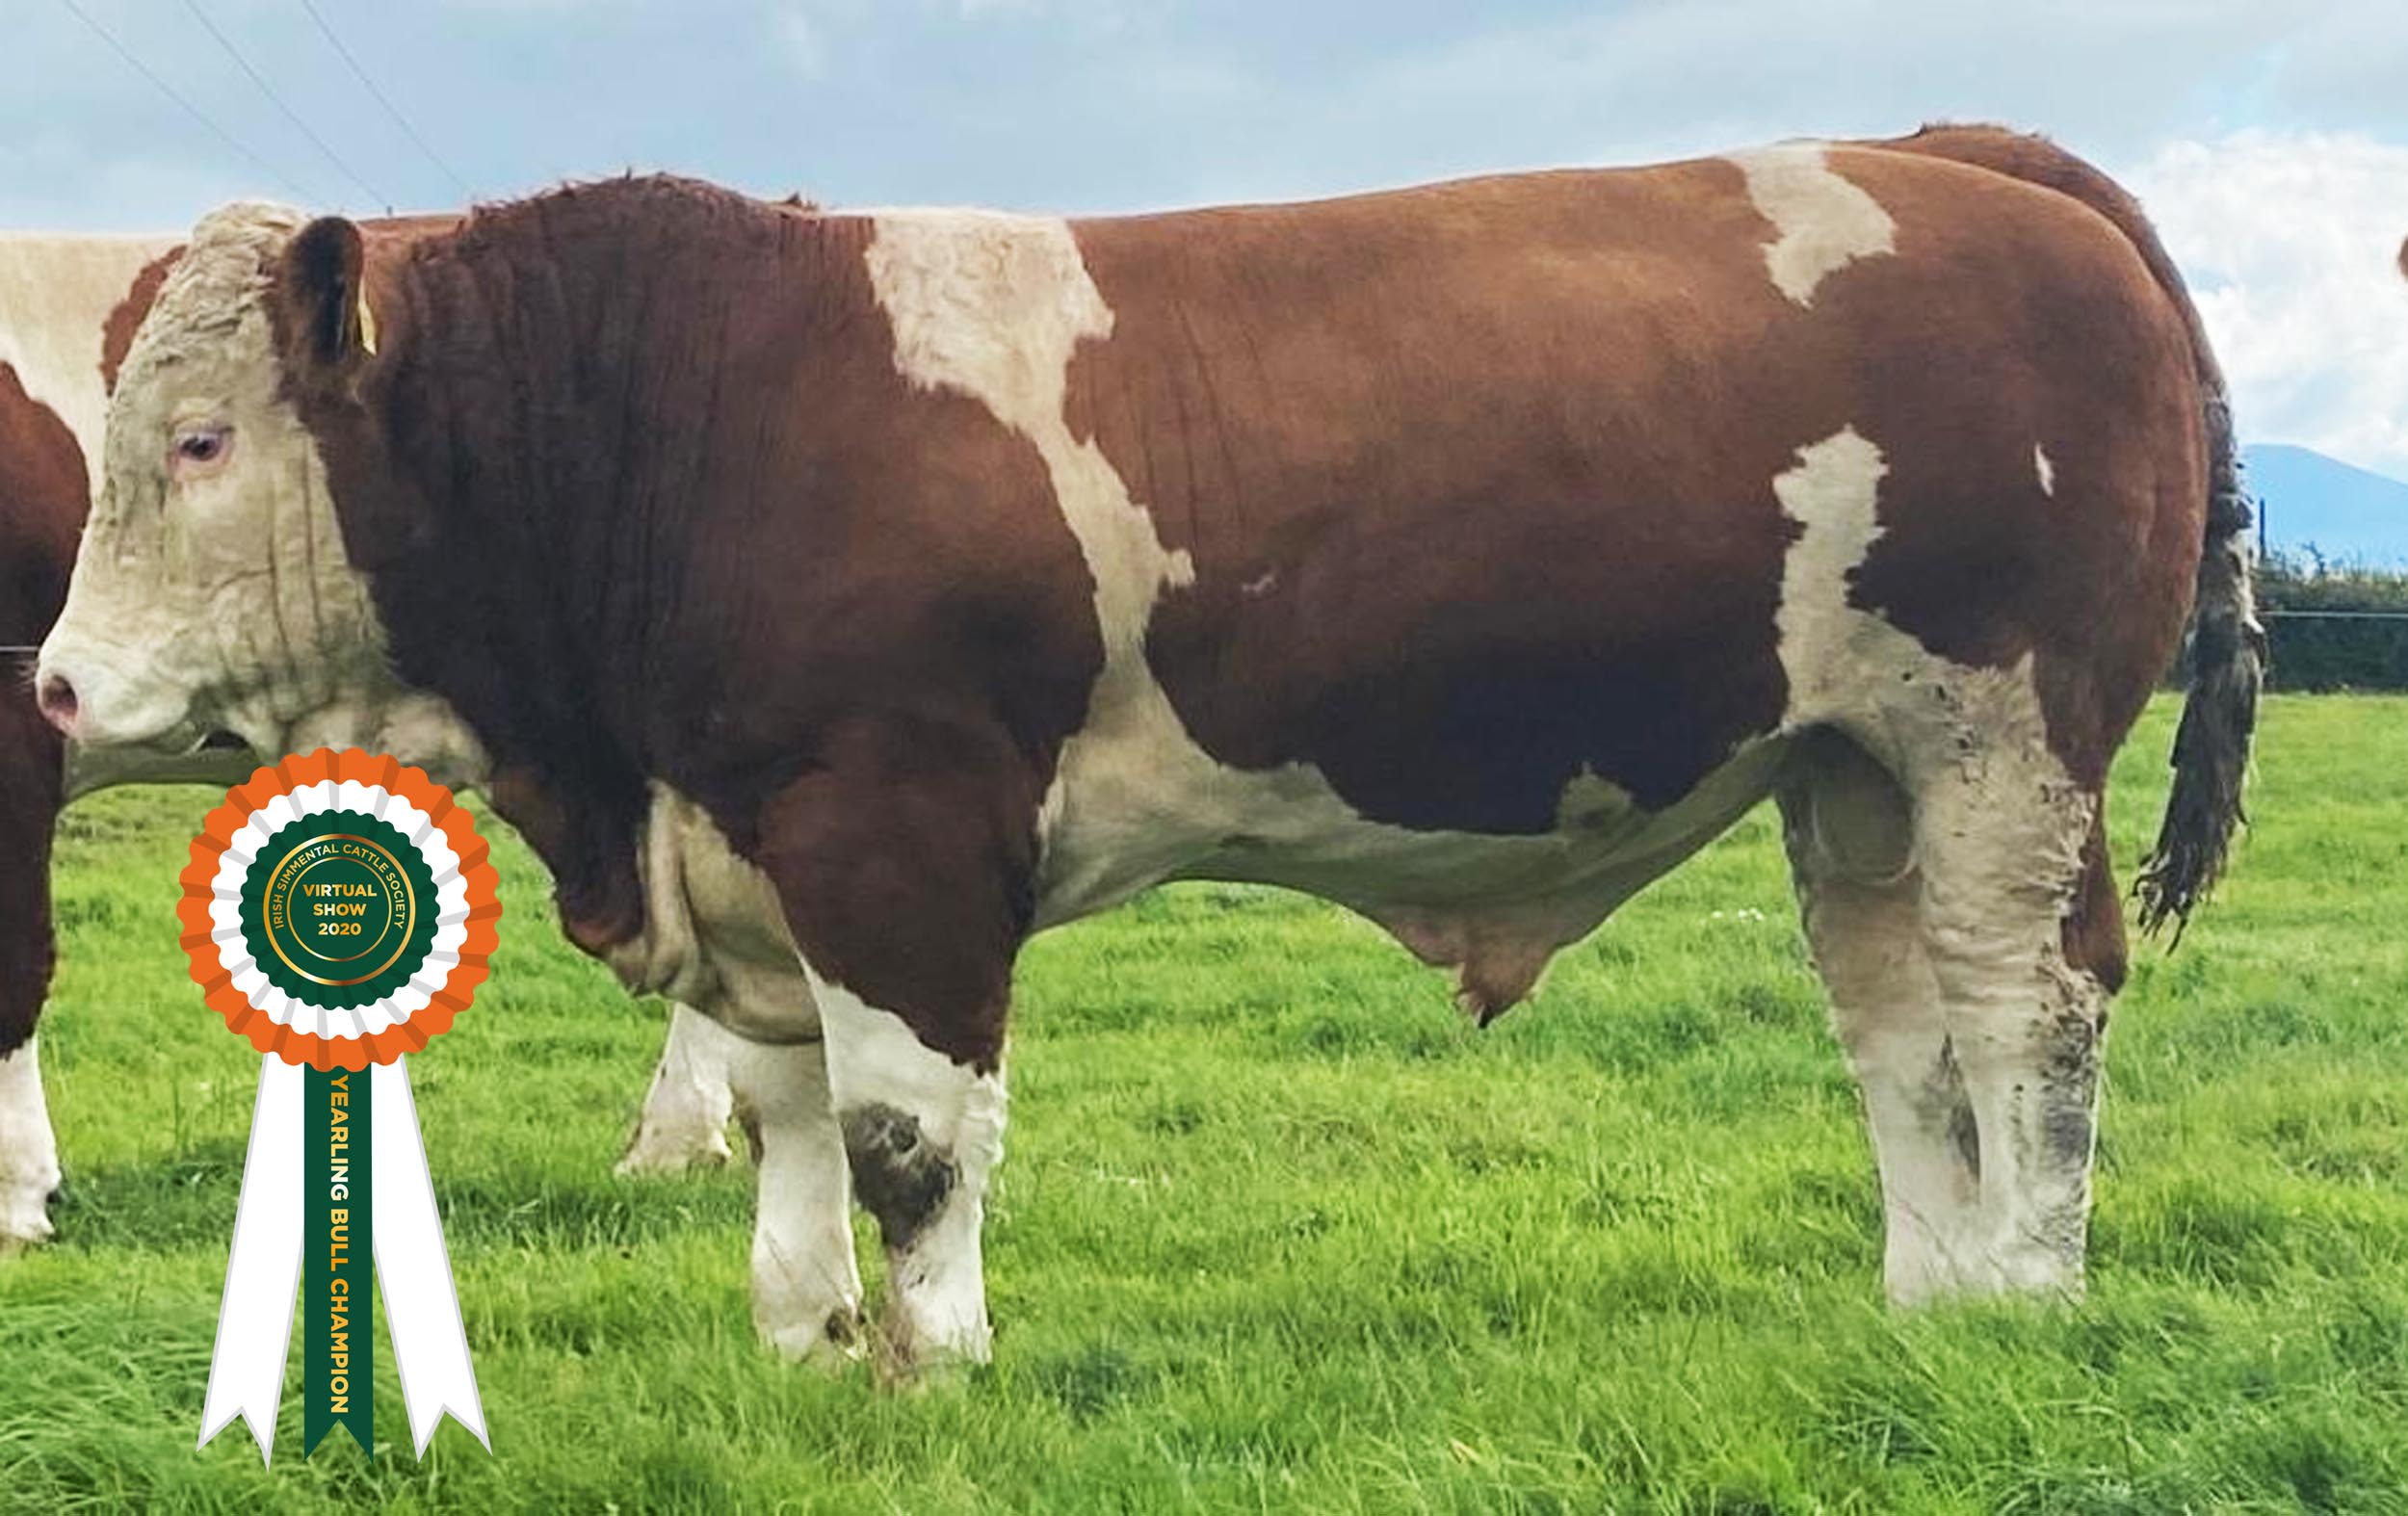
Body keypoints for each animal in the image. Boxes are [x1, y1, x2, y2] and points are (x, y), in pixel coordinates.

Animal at [36, 124, 2262, 1371]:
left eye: (203, 439)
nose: (51, 688)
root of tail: (1961, 153)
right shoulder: (746, 836)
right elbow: (782, 1113)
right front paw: (795, 1343)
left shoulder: (892, 827)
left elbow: (906, 1134)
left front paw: (928, 1366)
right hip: (1852, 771)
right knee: (1903, 1036)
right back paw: (1934, 1306)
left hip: (2001, 741)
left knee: (2029, 1017)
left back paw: (2034, 1298)